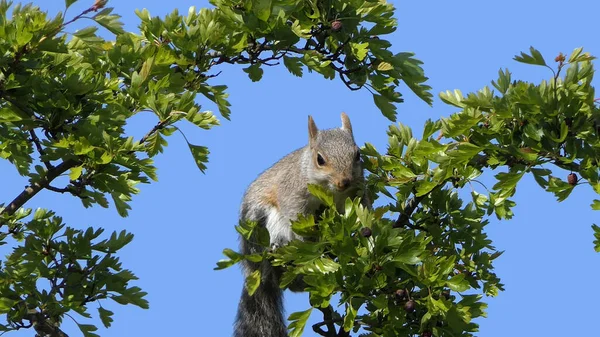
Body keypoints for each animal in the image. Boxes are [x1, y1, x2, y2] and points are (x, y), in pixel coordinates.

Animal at [232, 112, 368, 336]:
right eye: (320, 159)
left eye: (358, 155)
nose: (344, 181)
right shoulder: (292, 193)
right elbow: (295, 215)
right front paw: (309, 239)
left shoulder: (357, 193)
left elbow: (363, 212)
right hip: (262, 221)